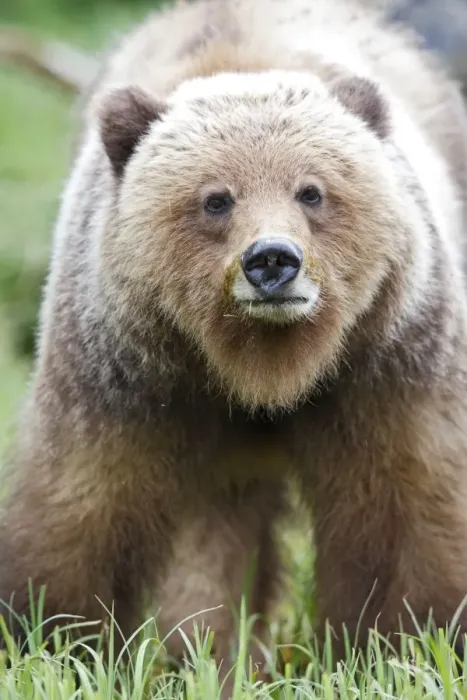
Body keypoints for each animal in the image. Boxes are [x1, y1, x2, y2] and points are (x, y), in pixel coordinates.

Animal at [2, 0, 467, 684]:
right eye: (216, 199)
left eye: (312, 190)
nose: (272, 259)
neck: (264, 368)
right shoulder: (128, 376)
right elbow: (83, 505)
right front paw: (56, 640)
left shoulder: (387, 362)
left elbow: (409, 505)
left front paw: (403, 645)